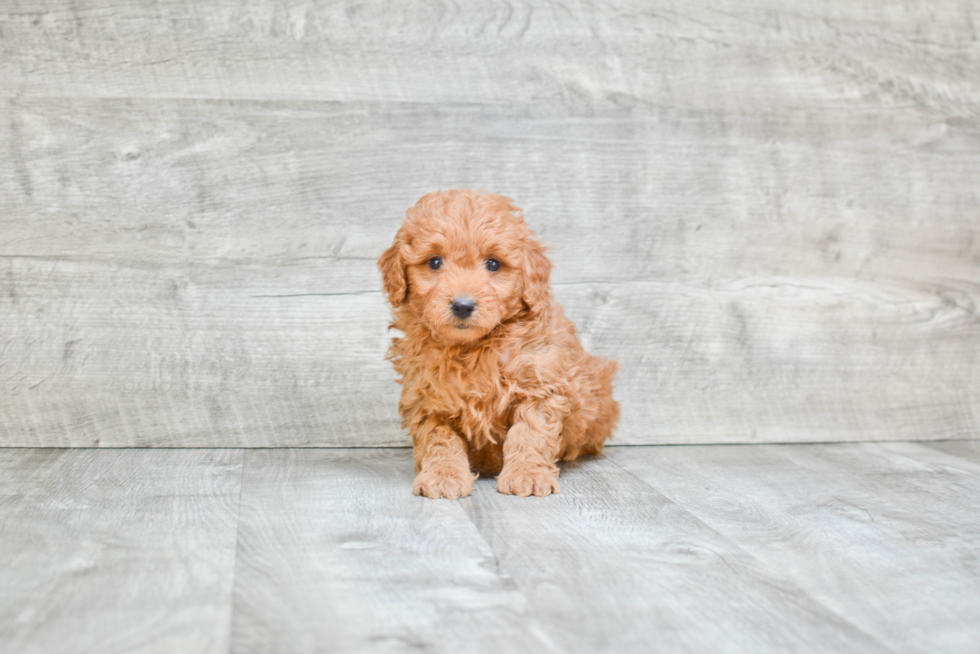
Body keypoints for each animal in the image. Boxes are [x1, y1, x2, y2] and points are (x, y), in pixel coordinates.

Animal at [378, 192, 616, 500]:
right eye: (434, 262)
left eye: (493, 264)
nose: (463, 305)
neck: (472, 348)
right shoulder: (427, 397)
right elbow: (438, 439)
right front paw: (443, 475)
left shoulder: (540, 382)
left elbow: (529, 432)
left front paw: (528, 473)